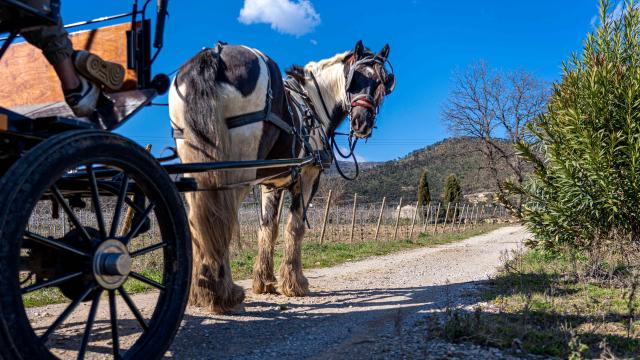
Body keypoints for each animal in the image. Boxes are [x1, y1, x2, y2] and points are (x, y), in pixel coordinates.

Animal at [169, 40, 396, 314]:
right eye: (354, 79)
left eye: (383, 81)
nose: (362, 123)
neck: (313, 103)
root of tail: (214, 54)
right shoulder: (307, 178)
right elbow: (295, 227)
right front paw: (294, 283)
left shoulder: (272, 185)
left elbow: (269, 228)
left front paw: (264, 280)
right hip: (236, 169)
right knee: (221, 217)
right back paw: (223, 293)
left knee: (198, 220)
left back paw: (199, 290)